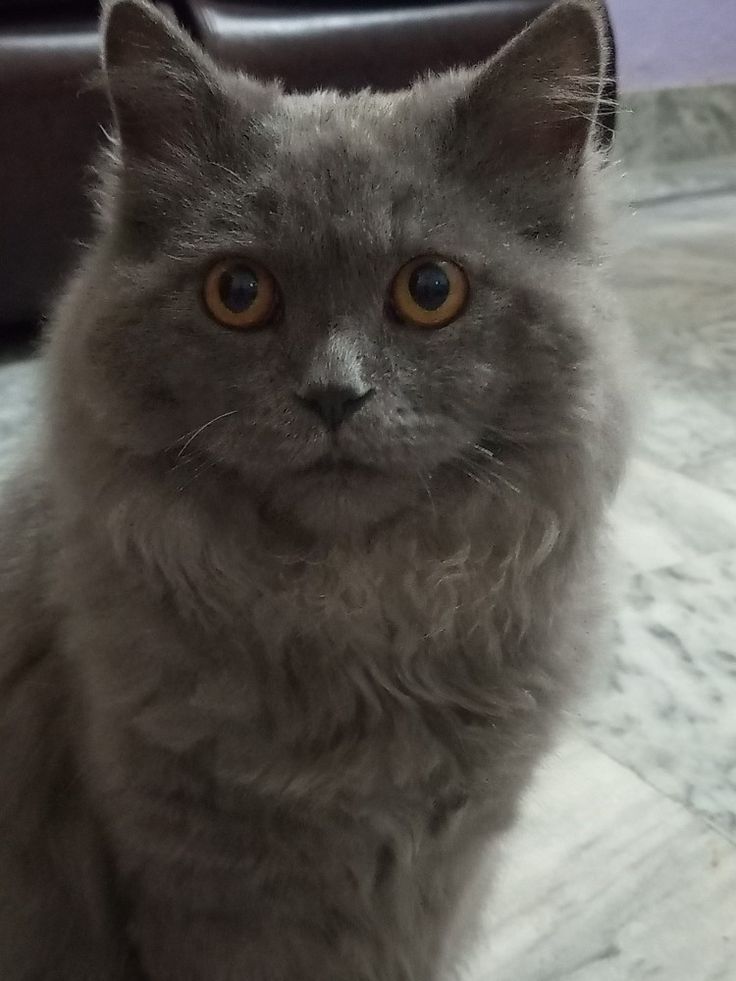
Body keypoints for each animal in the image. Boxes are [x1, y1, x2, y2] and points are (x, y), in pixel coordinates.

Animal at [1, 0, 632, 976]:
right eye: (239, 291)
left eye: (431, 289)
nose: (335, 395)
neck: (353, 613)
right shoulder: (190, 876)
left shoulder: (440, 873)